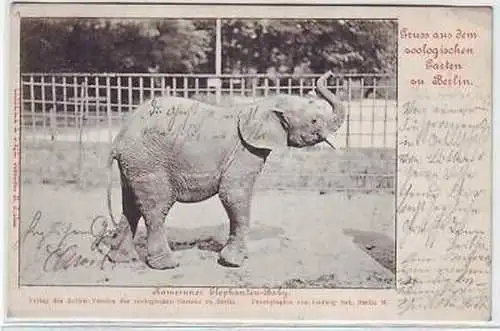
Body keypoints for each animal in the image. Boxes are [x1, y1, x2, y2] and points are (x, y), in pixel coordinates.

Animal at [106, 70, 346, 270]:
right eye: (314, 120)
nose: (331, 73)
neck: (262, 104)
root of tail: (118, 139)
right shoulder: (245, 150)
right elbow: (233, 194)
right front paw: (233, 263)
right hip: (148, 161)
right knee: (156, 207)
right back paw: (167, 265)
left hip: (135, 164)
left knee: (131, 206)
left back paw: (120, 259)